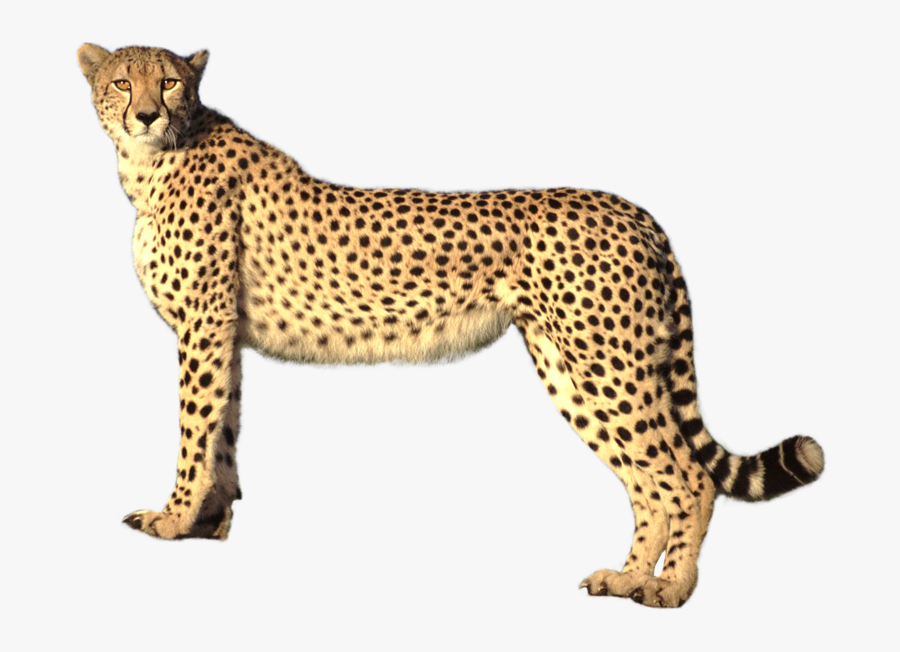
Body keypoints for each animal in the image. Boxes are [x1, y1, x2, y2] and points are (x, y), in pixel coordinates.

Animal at [77, 43, 825, 608]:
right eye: (122, 81)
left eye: (169, 81)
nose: (146, 114)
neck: (153, 161)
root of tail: (632, 209)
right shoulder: (223, 333)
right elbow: (223, 431)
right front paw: (208, 521)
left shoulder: (203, 326)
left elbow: (192, 428)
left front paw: (173, 518)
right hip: (573, 368)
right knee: (648, 481)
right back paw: (629, 576)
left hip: (608, 364)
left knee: (686, 477)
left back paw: (670, 590)